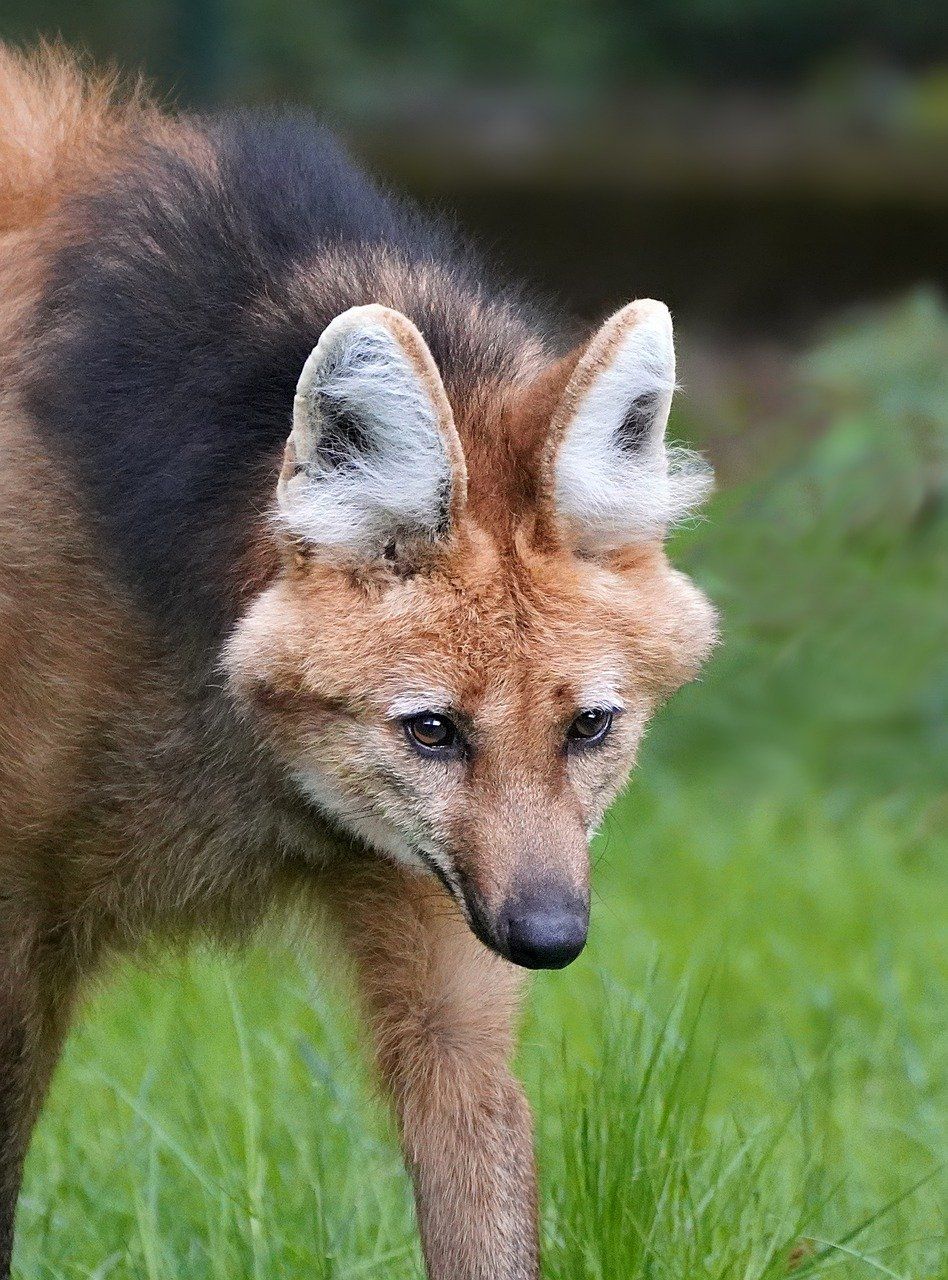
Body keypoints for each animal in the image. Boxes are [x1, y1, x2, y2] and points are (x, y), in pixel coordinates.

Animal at [0, 45, 717, 1279]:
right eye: (431, 727)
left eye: (589, 726)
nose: (551, 938)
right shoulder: (16, 933)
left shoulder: (447, 936)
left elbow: (475, 1154)